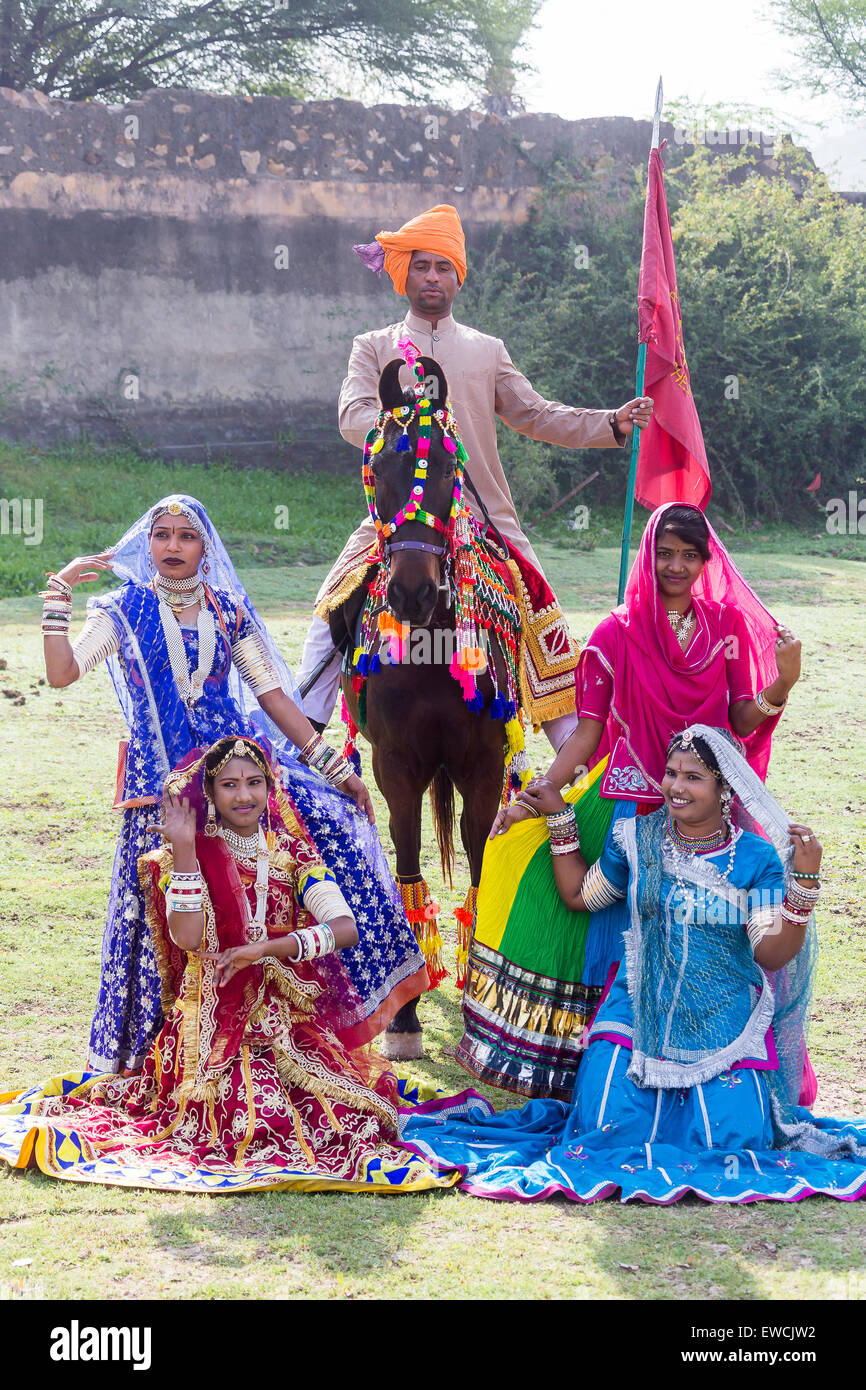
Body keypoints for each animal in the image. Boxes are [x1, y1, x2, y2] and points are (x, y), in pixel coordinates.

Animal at [326, 353, 514, 1056]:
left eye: (450, 475)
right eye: (380, 471)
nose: (410, 593)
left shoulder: (483, 767)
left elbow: (481, 862)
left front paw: (477, 991)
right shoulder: (397, 768)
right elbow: (407, 864)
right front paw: (404, 1019)